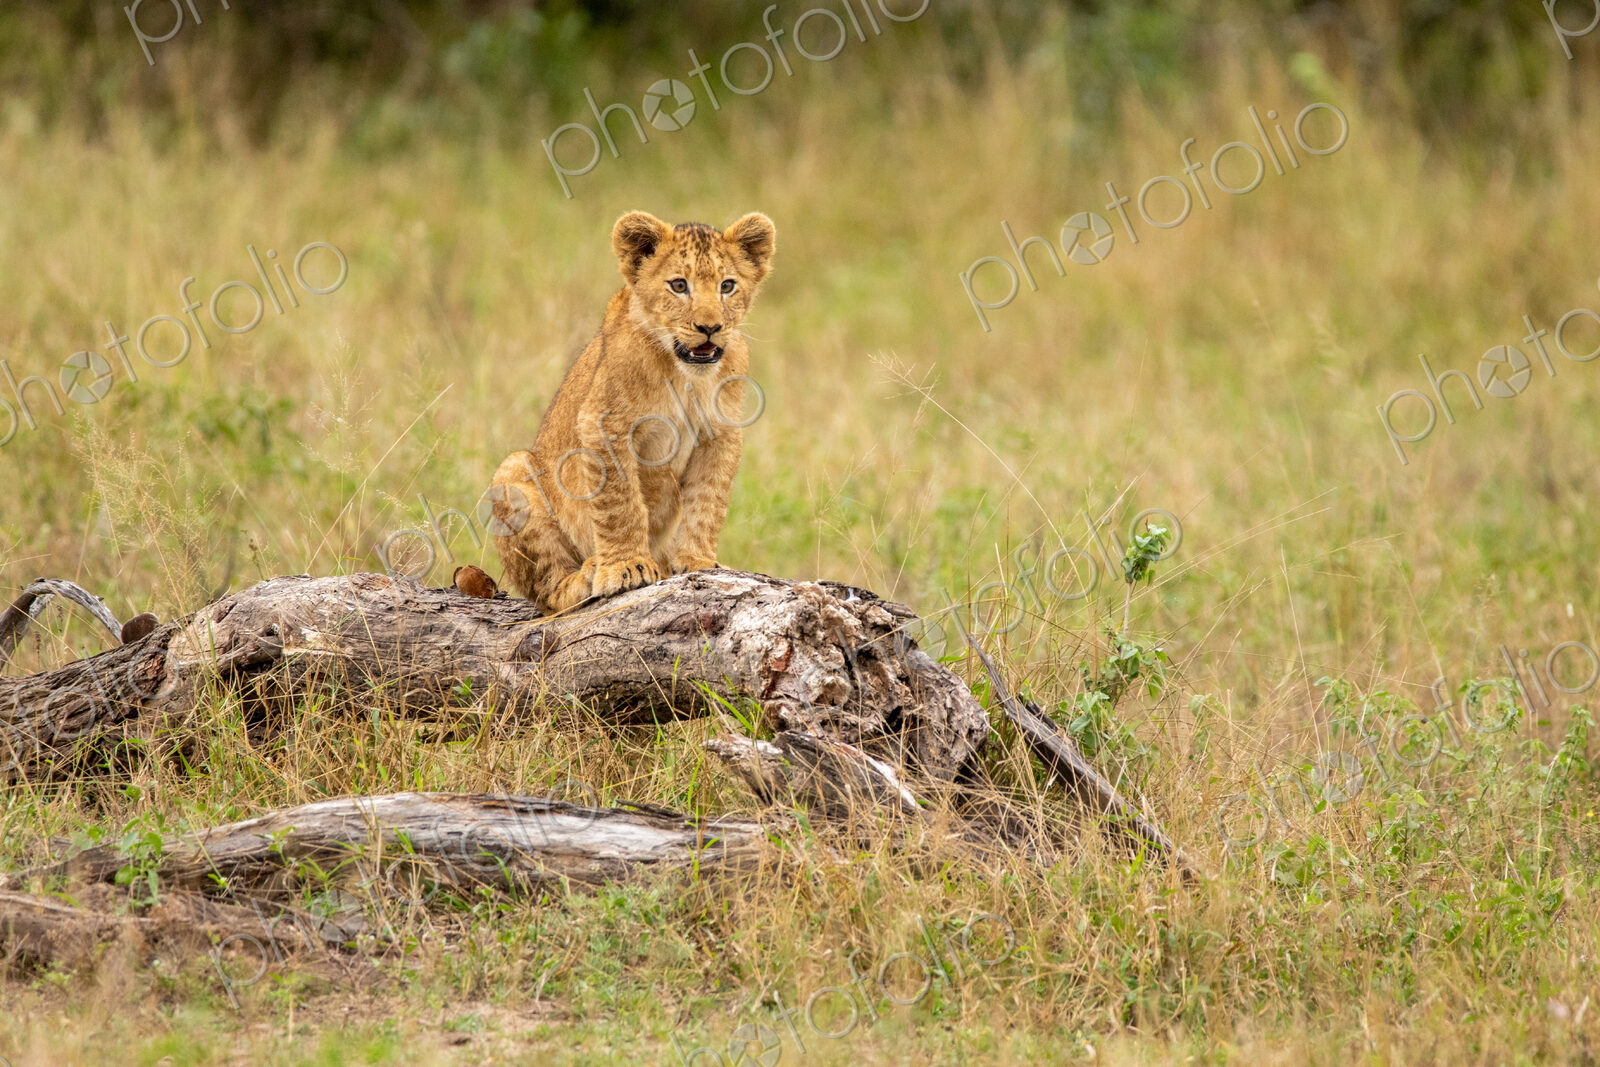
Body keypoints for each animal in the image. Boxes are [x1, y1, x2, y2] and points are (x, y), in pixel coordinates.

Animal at [488, 210, 776, 614]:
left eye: (727, 286)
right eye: (678, 285)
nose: (710, 328)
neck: (683, 374)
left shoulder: (720, 434)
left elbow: (708, 501)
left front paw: (697, 560)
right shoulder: (604, 425)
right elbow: (620, 503)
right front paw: (626, 566)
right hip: (512, 472)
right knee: (548, 593)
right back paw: (586, 574)